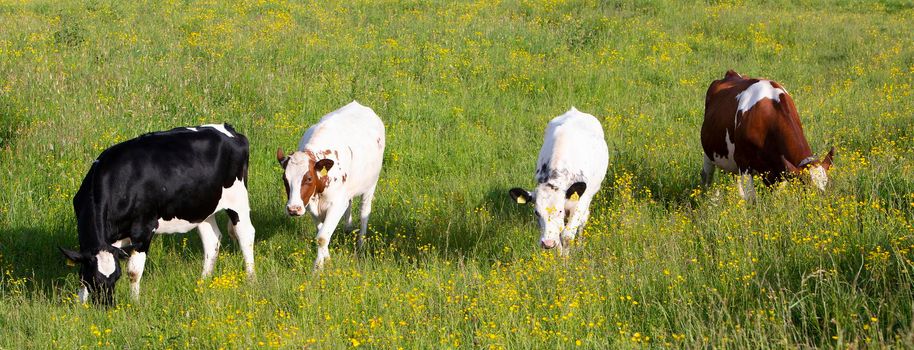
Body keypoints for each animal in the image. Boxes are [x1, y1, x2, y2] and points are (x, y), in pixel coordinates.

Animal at [61, 124, 255, 304]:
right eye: (93, 279)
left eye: (117, 277)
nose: (106, 306)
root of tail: (229, 129)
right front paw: (81, 306)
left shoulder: (143, 229)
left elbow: (134, 272)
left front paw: (134, 304)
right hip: (202, 208)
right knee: (212, 240)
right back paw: (203, 282)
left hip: (237, 200)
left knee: (245, 235)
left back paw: (250, 279)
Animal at [274, 101, 382, 270]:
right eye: (285, 179)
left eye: (309, 178)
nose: (293, 209)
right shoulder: (311, 205)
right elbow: (321, 233)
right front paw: (327, 259)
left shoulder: (336, 204)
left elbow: (322, 237)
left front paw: (317, 268)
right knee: (349, 204)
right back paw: (348, 228)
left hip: (370, 185)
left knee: (364, 212)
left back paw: (360, 243)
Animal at [700, 69, 832, 198]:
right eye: (806, 187)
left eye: (825, 184)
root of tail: (731, 73)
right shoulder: (743, 162)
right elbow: (751, 198)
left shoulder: (779, 169)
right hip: (709, 153)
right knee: (707, 175)